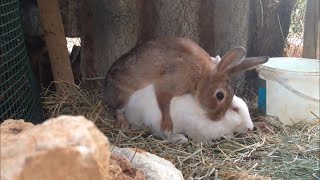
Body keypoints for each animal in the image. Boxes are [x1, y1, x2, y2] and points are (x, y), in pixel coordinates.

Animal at [102, 37, 268, 135]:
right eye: (220, 95)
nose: (218, 118)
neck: (201, 77)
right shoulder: (167, 85)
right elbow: (164, 104)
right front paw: (167, 127)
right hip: (124, 95)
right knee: (117, 109)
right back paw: (123, 123)